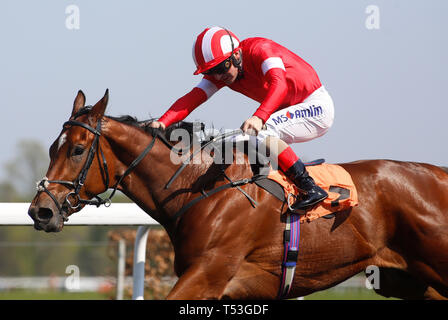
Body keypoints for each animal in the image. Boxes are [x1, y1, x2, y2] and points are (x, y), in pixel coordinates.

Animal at [28, 90, 448, 300]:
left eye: (77, 150)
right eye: (51, 148)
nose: (40, 211)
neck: (201, 188)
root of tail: (438, 174)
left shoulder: (209, 275)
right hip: (410, 282)